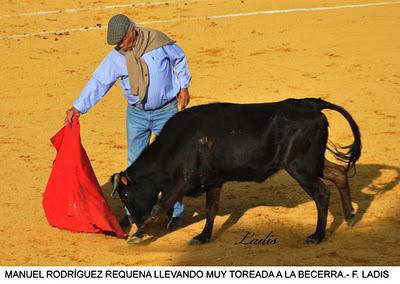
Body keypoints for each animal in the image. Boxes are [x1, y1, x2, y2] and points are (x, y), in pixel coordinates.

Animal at [111, 97, 360, 244]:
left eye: (125, 195)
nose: (135, 222)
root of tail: (311, 104)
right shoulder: (213, 180)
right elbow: (211, 209)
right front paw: (203, 237)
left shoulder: (182, 181)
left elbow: (159, 206)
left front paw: (137, 236)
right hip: (311, 162)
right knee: (339, 173)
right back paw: (349, 216)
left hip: (299, 166)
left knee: (321, 193)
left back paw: (317, 235)